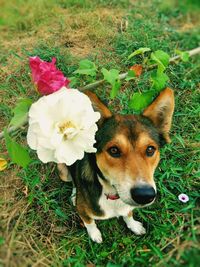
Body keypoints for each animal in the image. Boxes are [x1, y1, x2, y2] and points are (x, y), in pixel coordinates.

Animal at [57, 88, 174, 243]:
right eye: (114, 150)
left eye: (150, 149)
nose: (144, 195)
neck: (112, 194)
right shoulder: (82, 211)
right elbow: (89, 222)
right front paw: (94, 235)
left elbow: (128, 214)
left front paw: (133, 226)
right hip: (62, 171)